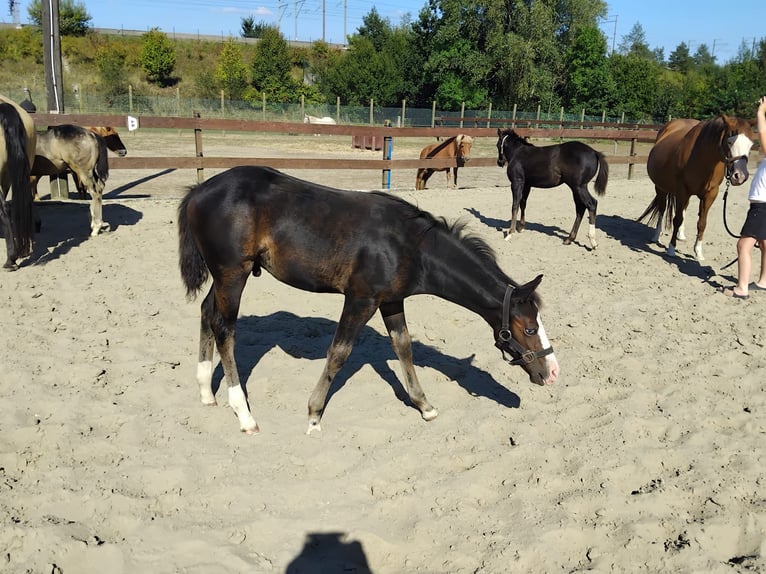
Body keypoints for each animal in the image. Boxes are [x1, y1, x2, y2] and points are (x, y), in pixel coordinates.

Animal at [178, 166, 559, 435]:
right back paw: (244, 415)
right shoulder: (361, 299)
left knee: (207, 313)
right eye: (527, 329)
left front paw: (424, 406)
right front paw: (314, 415)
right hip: (234, 274)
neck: (410, 247)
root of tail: (198, 190)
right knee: (226, 330)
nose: (552, 373)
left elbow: (404, 348)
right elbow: (339, 353)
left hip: (223, 276)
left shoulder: (391, 301)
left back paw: (206, 393)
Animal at [638, 115, 754, 260]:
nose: (740, 176)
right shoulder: (682, 190)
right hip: (661, 188)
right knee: (662, 209)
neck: (703, 158)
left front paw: (698, 252)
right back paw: (656, 235)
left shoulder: (710, 194)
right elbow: (677, 219)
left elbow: (702, 223)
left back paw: (681, 235)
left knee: (683, 209)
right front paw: (671, 249)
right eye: (730, 142)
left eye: (751, 144)